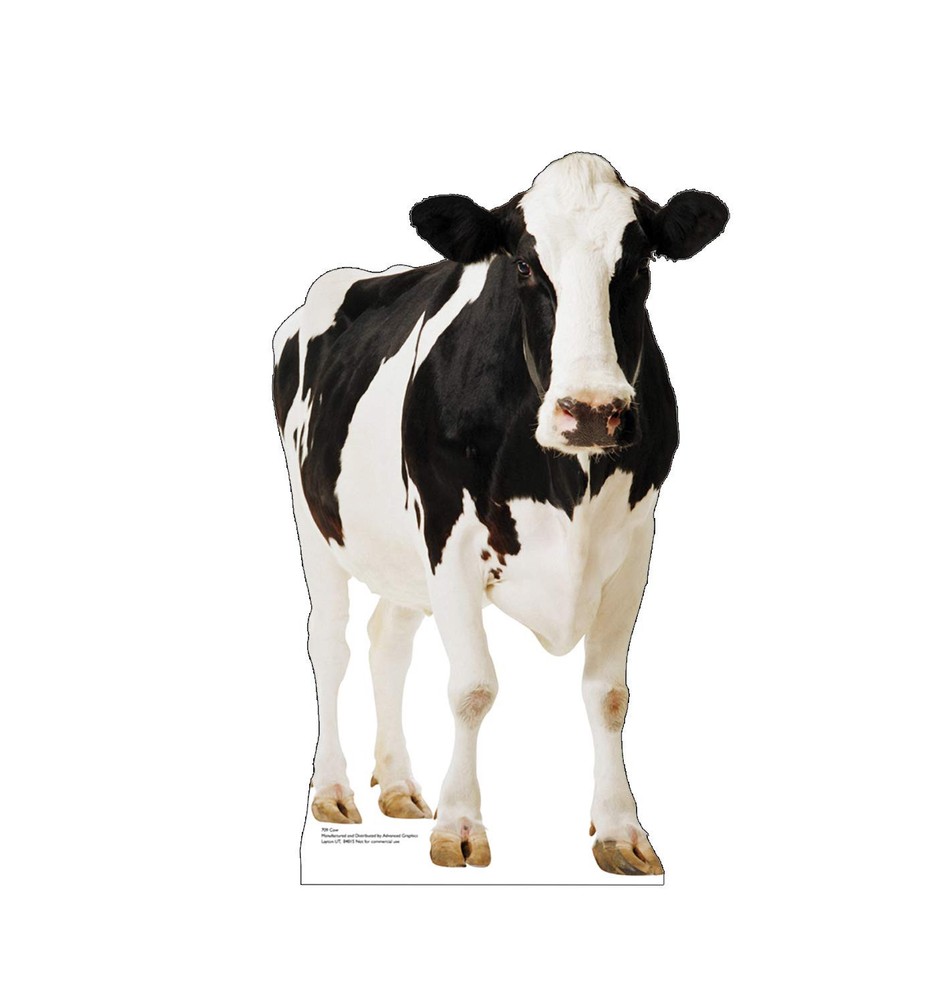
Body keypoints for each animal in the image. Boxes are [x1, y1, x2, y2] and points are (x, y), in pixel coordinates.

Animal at [272, 152, 728, 875]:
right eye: (522, 265)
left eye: (637, 264)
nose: (592, 410)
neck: (566, 481)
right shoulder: (447, 536)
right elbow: (473, 688)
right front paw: (459, 825)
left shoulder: (634, 546)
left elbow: (609, 694)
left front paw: (620, 830)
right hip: (314, 520)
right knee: (330, 645)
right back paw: (333, 790)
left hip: (400, 552)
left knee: (387, 641)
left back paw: (397, 785)